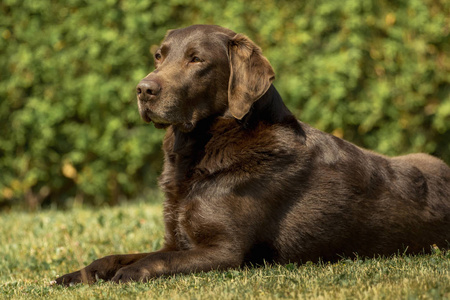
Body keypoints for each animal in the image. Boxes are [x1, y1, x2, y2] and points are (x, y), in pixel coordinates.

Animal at [56, 24, 450, 284]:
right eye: (159, 55)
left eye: (196, 60)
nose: (143, 89)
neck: (199, 153)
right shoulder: (174, 240)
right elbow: (115, 256)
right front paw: (76, 275)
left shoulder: (223, 251)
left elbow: (151, 263)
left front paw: (124, 275)